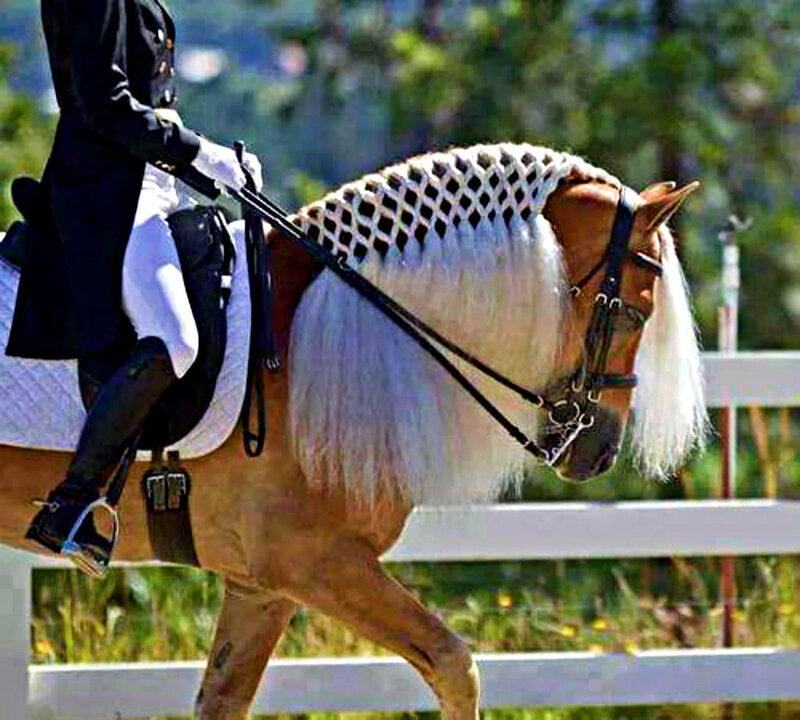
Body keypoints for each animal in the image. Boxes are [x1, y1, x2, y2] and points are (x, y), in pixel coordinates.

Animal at [0, 143, 706, 719]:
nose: (597, 451)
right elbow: (454, 666)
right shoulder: (316, 560)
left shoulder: (261, 586)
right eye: (634, 311)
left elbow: (223, 701)